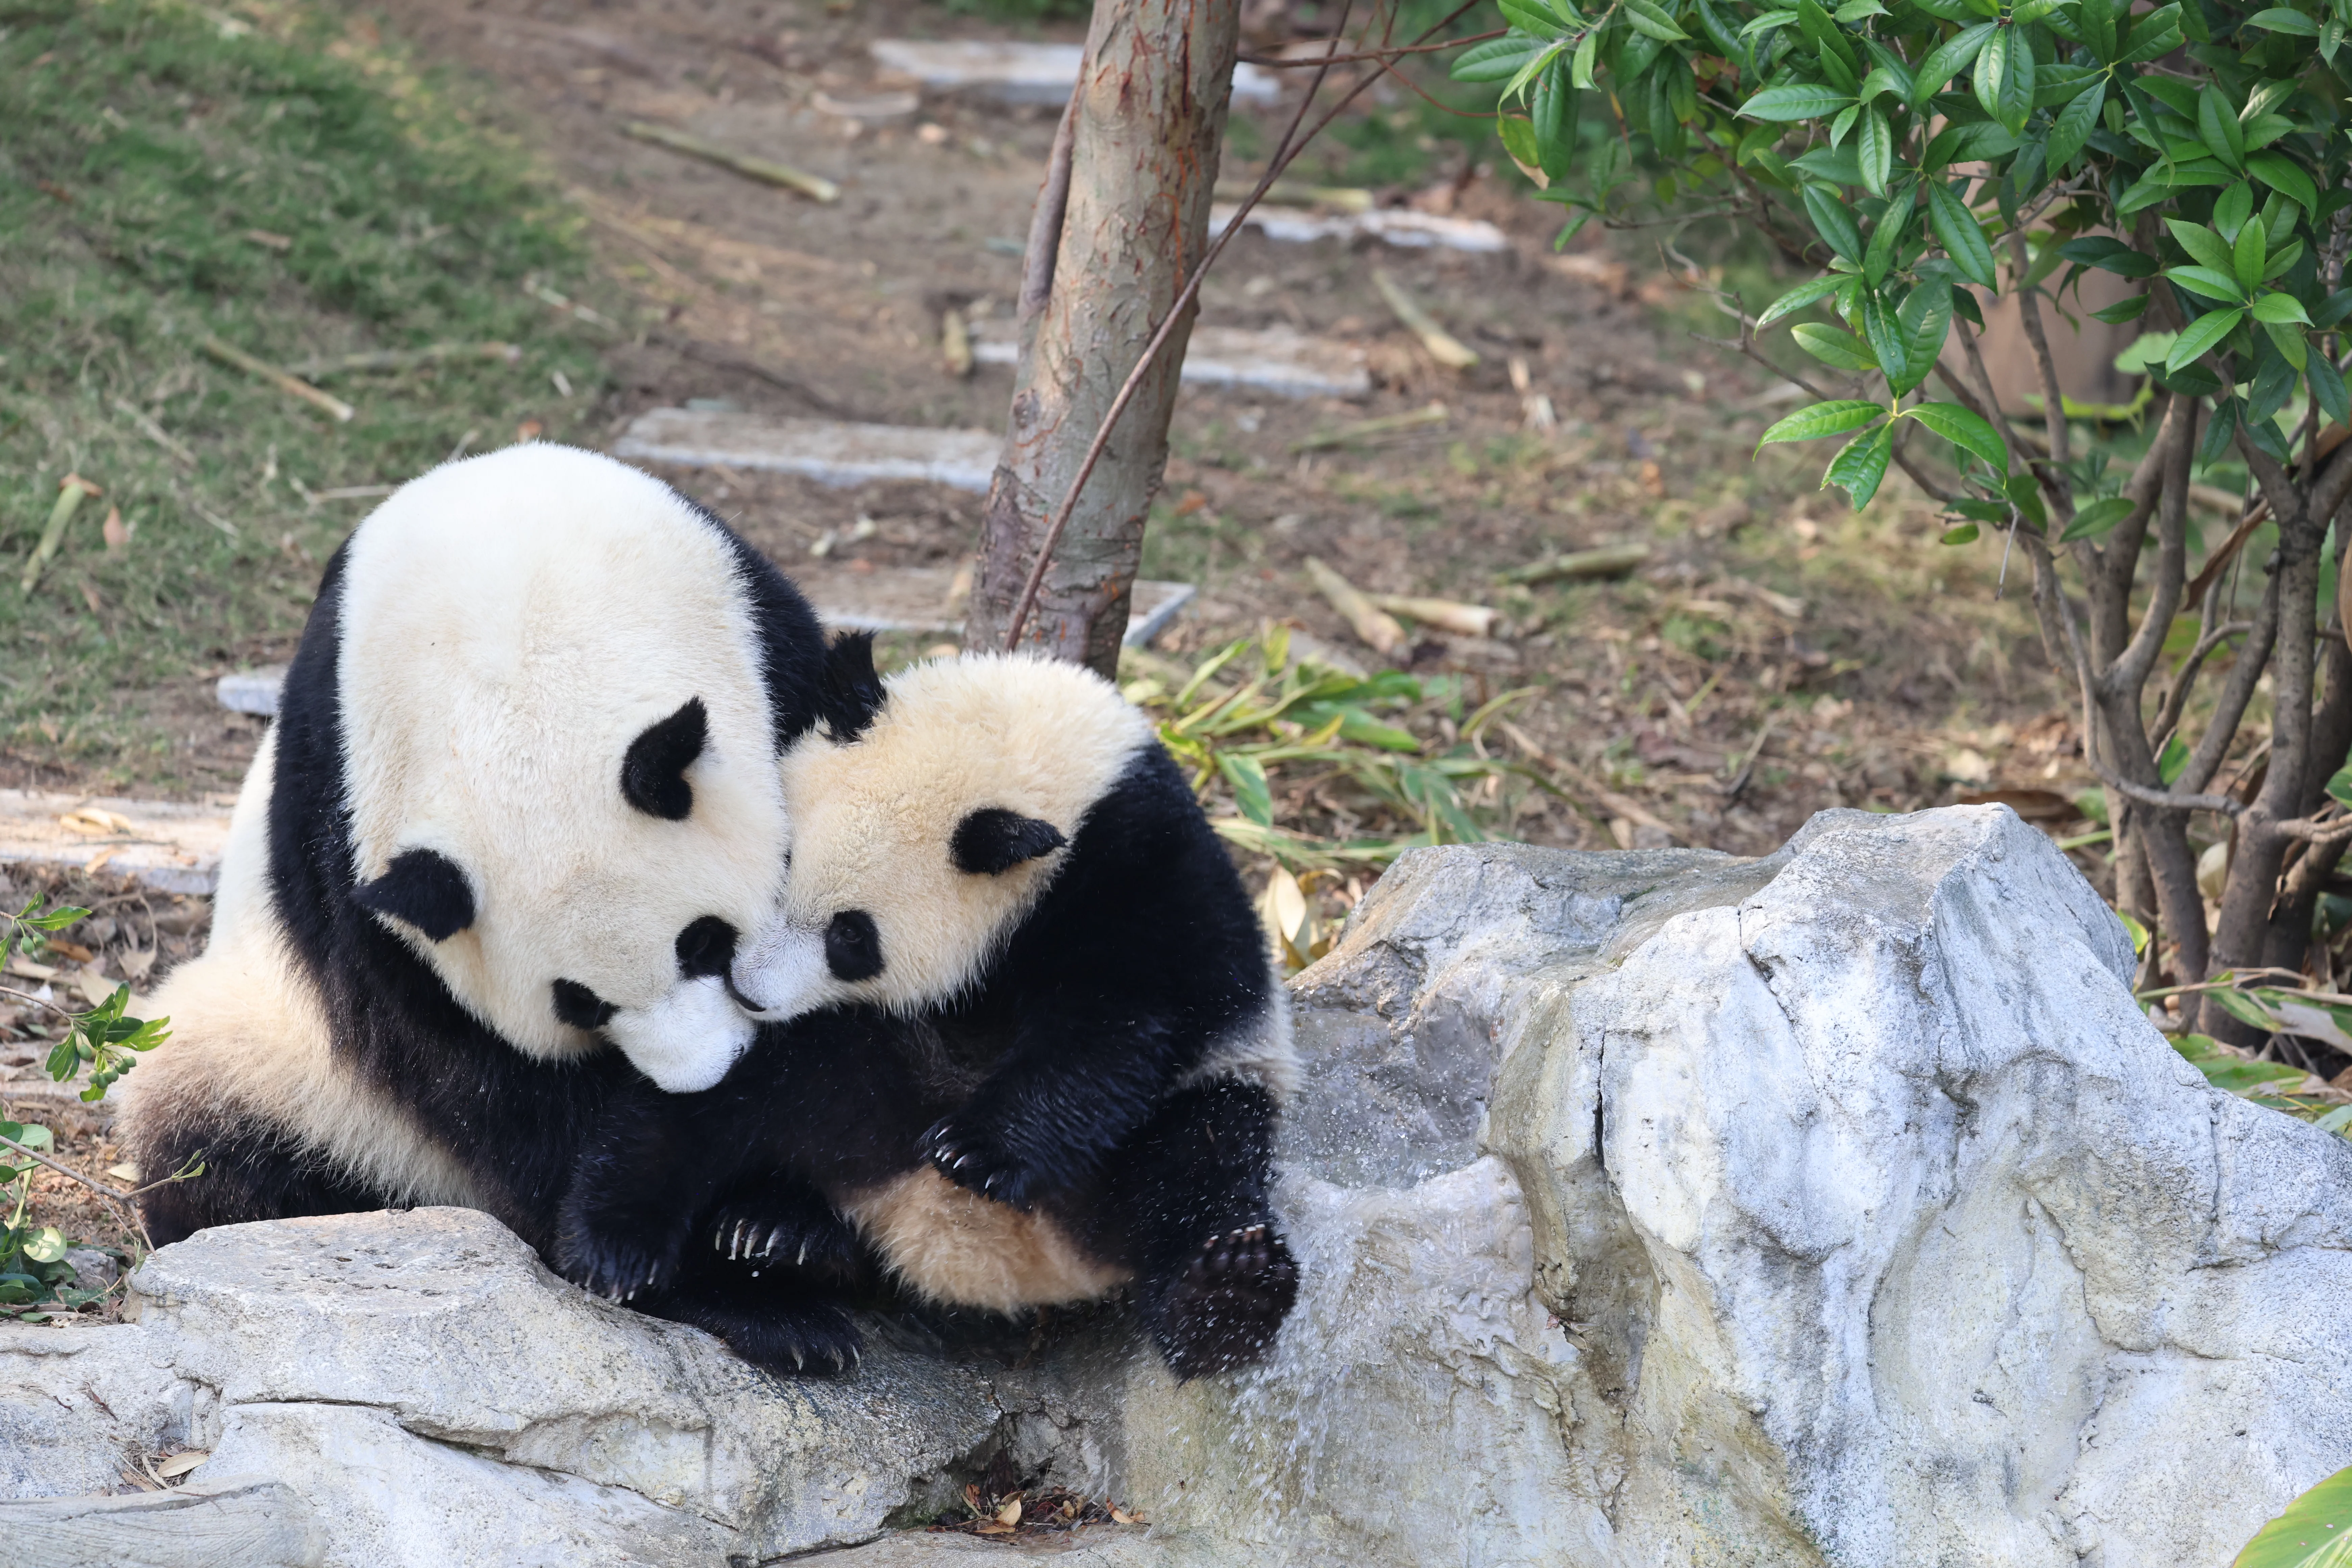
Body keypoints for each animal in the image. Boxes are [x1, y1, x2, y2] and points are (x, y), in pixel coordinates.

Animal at [124, 446, 852, 1352]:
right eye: (579, 1003)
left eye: (705, 943)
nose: (703, 1076)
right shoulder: (347, 828)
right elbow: (479, 1080)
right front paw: (698, 1271)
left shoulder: (768, 645)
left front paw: (778, 1225)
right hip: (290, 1067)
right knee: (207, 1142)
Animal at [555, 639, 1301, 1378]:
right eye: (778, 866)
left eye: (852, 937)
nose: (751, 994)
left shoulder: (1152, 883)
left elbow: (1118, 1025)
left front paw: (977, 1150)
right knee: (708, 1112)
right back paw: (679, 1239)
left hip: (1192, 1117)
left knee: (1197, 1173)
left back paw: (1227, 1289)